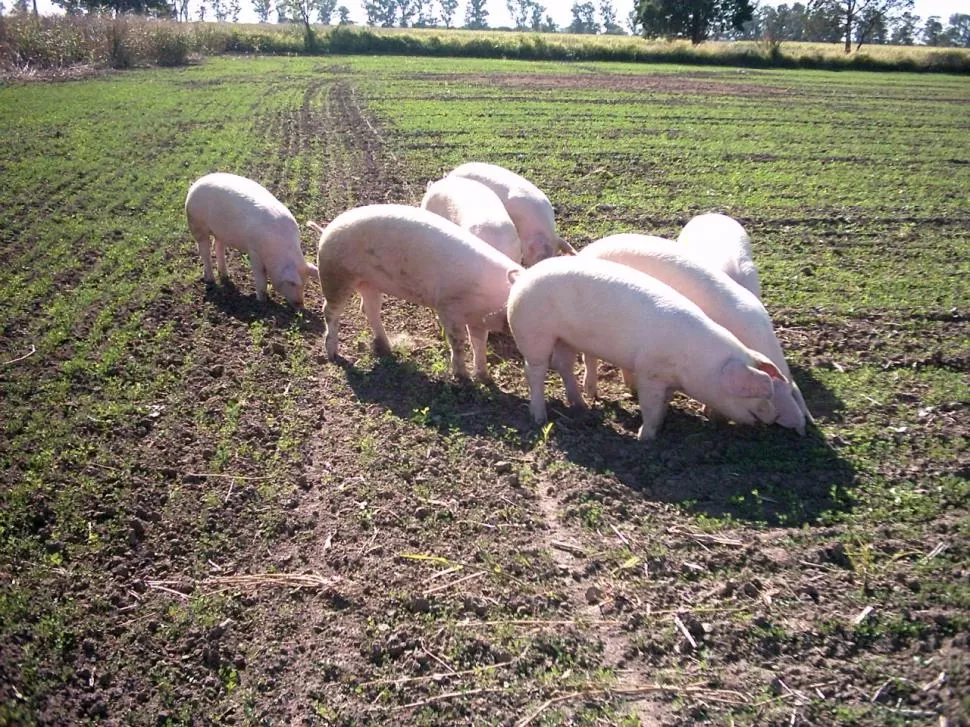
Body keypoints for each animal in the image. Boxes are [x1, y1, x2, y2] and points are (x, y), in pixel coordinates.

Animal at [183, 173, 316, 308]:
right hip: (197, 224)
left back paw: (225, 275)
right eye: (292, 283)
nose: (300, 305)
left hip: (220, 232)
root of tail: (196, 184)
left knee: (218, 246)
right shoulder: (254, 251)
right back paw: (210, 280)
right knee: (204, 251)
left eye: (305, 283)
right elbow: (260, 275)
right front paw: (262, 302)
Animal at [308, 205, 520, 382]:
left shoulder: (478, 319)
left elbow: (479, 345)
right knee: (329, 311)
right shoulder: (448, 307)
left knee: (370, 310)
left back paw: (386, 349)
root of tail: (326, 230)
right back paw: (333, 355)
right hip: (335, 276)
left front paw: (486, 379)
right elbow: (458, 342)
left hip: (369, 284)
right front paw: (463, 379)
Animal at [506, 258, 788, 440]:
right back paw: (540, 417)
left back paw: (581, 406)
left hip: (566, 338)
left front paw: (662, 423)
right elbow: (650, 407)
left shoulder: (668, 380)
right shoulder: (649, 373)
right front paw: (645, 437)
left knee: (563, 365)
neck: (697, 364)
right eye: (758, 393)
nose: (774, 416)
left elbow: (663, 403)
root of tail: (523, 276)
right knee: (535, 370)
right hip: (533, 332)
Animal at [576, 235, 808, 432]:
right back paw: (591, 392)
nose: (800, 425)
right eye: (771, 393)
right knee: (590, 357)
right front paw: (710, 415)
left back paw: (631, 387)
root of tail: (586, 251)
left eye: (790, 391)